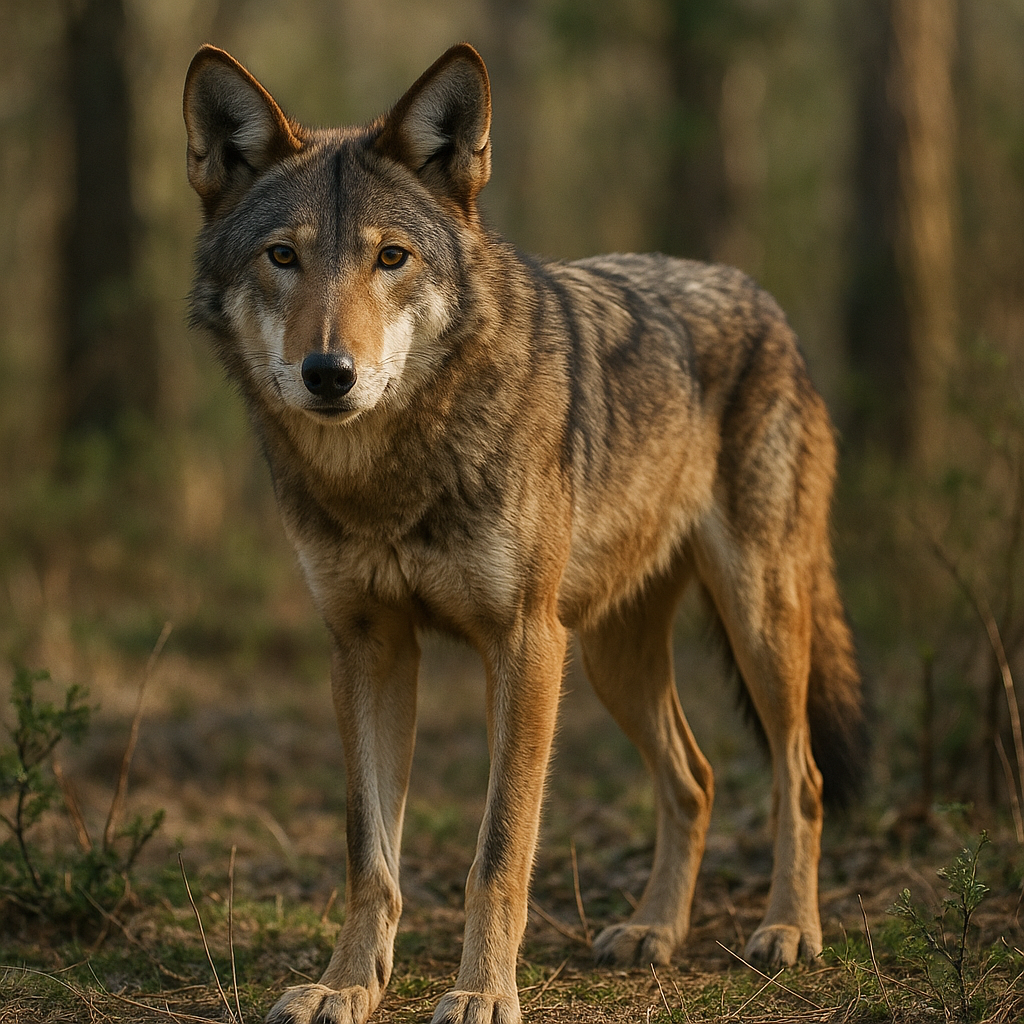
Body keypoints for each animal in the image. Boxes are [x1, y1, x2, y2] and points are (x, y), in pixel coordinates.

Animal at [184, 42, 866, 1024]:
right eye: (283, 256)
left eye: (391, 257)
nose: (329, 372)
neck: (387, 475)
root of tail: (758, 295)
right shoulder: (367, 648)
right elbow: (368, 856)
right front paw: (346, 986)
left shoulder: (523, 643)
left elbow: (499, 849)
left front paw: (480, 993)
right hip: (613, 659)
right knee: (694, 779)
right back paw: (654, 931)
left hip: (758, 623)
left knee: (798, 779)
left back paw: (786, 929)